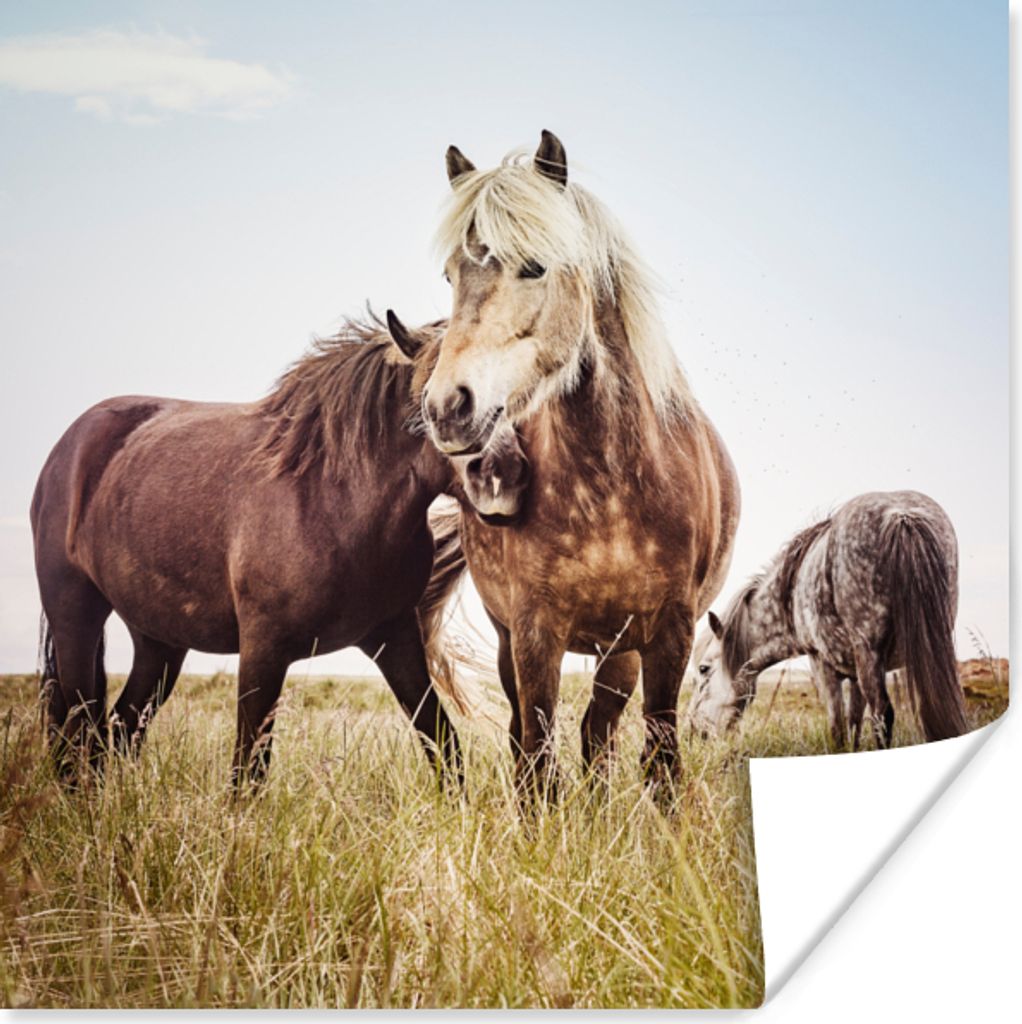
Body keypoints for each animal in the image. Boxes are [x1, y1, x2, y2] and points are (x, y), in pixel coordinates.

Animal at [31, 315, 528, 788]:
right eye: (435, 397)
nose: (504, 474)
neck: (332, 497)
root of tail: (68, 447)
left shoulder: (395, 637)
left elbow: (443, 743)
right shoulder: (263, 650)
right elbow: (248, 767)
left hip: (159, 642)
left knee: (117, 729)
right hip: (76, 619)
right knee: (77, 731)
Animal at [395, 131, 741, 800]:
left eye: (534, 266)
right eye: (451, 274)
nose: (448, 407)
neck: (610, 488)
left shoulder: (670, 634)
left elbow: (660, 756)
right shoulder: (534, 633)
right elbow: (536, 755)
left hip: (619, 651)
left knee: (598, 732)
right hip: (518, 641)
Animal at [686, 490, 968, 750]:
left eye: (703, 669)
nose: (695, 731)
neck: (789, 596)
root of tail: (901, 516)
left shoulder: (823, 664)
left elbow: (838, 728)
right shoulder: (855, 676)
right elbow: (854, 725)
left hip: (870, 655)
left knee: (882, 715)